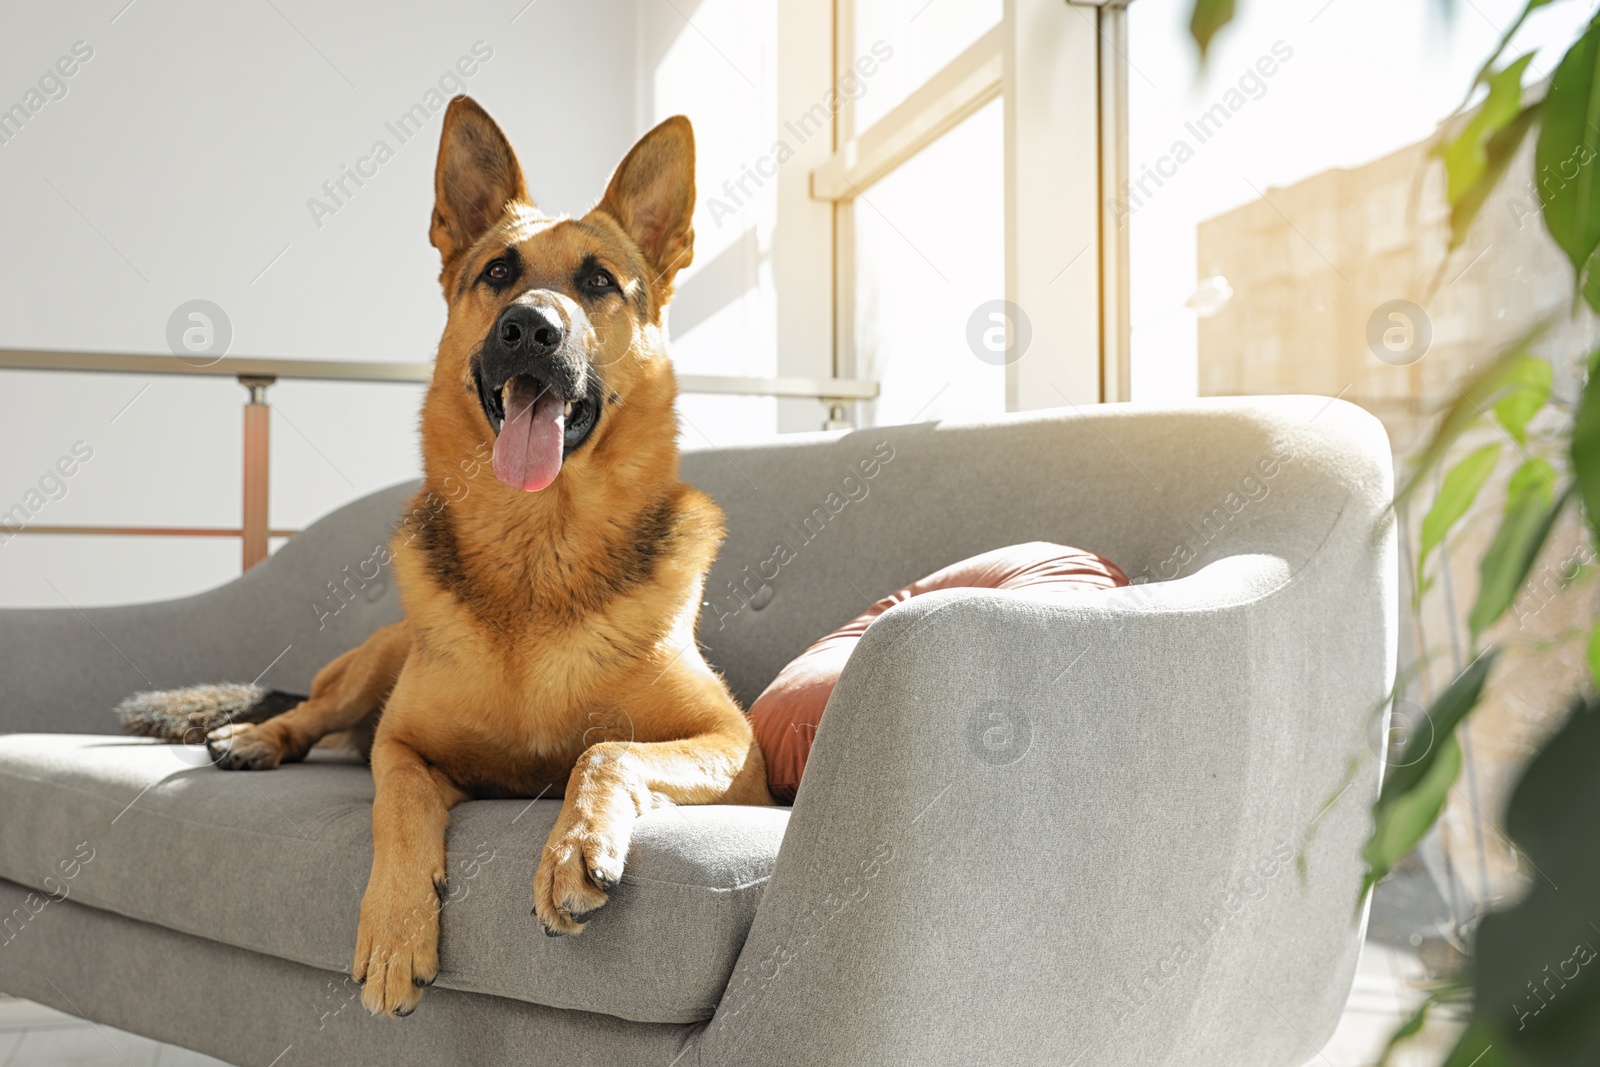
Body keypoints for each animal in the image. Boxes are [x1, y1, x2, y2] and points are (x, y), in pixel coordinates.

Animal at [200, 95, 774, 1017]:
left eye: (598, 281)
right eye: (499, 271)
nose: (530, 328)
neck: (537, 549)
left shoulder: (735, 747)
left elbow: (604, 749)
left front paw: (573, 846)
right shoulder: (404, 745)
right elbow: (397, 803)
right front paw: (396, 927)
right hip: (373, 664)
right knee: (314, 712)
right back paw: (256, 737)